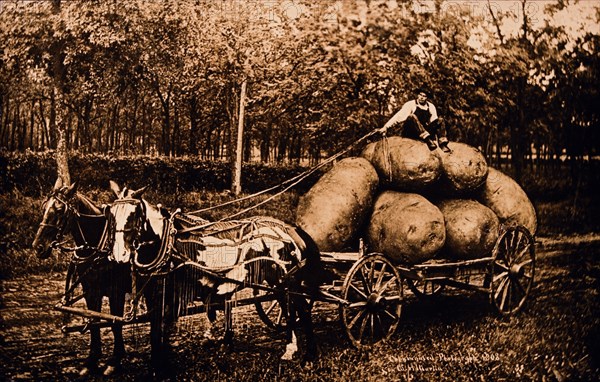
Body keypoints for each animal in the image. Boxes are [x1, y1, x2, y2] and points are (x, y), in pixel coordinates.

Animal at [32, 179, 131, 376]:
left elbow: (115, 323)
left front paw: (115, 360)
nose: (38, 247)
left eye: (60, 210)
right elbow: (93, 320)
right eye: (44, 207)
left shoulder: (116, 290)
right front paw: (91, 360)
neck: (100, 246)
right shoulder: (90, 290)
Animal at [105, 182, 326, 374]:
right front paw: (158, 363)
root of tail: (289, 228)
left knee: (303, 310)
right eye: (111, 215)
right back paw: (290, 349)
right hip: (277, 282)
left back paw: (310, 355)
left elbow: (161, 330)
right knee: (289, 310)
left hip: (288, 280)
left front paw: (161, 367)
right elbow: (156, 330)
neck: (169, 245)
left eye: (134, 215)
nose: (119, 254)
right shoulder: (154, 296)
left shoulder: (168, 297)